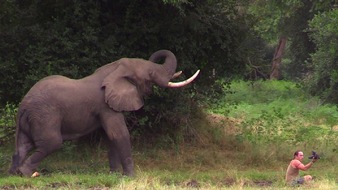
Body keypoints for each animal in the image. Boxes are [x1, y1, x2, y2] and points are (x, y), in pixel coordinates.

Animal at [7, 49, 199, 177]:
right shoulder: (106, 106)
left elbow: (109, 137)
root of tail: (23, 105)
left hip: (31, 119)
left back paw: (13, 174)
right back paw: (27, 173)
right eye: (150, 73)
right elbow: (119, 134)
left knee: (23, 146)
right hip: (44, 116)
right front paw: (130, 177)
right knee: (51, 143)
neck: (115, 69)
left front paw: (113, 174)